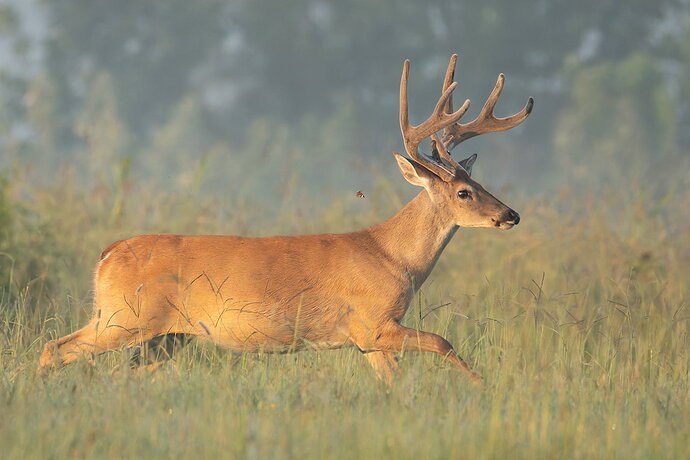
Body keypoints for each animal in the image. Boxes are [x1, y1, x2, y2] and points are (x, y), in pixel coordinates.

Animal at [39, 54, 532, 385]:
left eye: (479, 181)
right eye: (464, 192)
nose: (510, 215)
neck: (395, 259)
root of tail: (106, 255)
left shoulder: (368, 340)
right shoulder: (372, 322)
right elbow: (442, 342)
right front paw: (479, 387)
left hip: (164, 334)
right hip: (124, 316)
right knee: (54, 348)